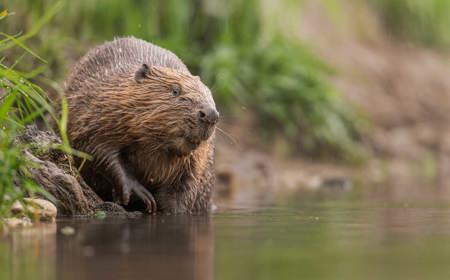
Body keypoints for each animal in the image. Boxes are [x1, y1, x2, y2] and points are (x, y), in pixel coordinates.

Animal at [63, 36, 218, 213]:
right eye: (175, 90)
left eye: (209, 95)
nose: (210, 115)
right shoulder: (97, 111)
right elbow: (97, 149)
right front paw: (142, 195)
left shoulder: (197, 161)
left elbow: (185, 186)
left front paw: (172, 211)